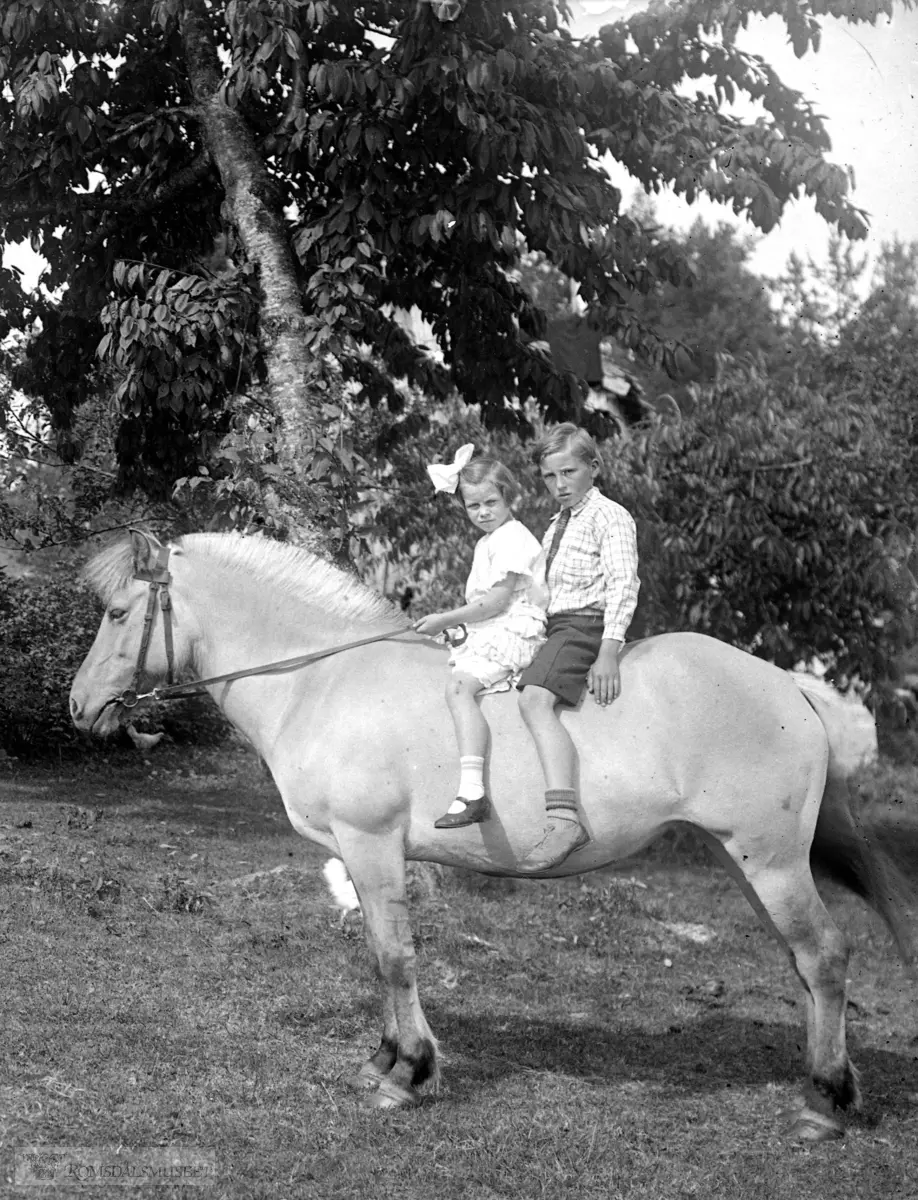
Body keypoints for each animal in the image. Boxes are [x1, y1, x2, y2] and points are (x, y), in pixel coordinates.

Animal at [68, 532, 912, 1132]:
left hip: (769, 862)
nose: (78, 706)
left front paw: (409, 1072)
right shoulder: (364, 856)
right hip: (744, 860)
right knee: (806, 965)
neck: (324, 680)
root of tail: (790, 685)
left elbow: (396, 958)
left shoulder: (371, 845)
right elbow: (379, 957)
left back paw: (827, 1102)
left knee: (826, 956)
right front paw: (385, 1058)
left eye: (117, 614)